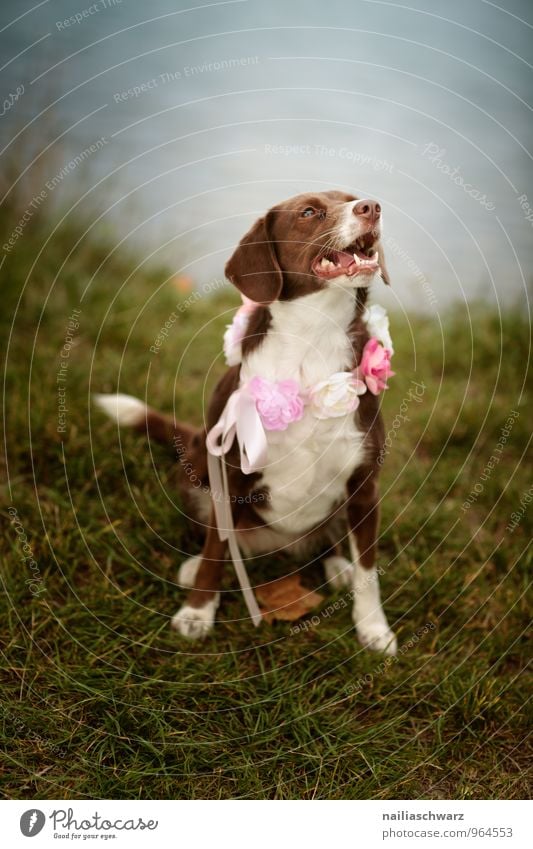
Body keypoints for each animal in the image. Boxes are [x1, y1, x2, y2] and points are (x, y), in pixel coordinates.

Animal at [95, 190, 396, 656]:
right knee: (216, 539)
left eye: (351, 199)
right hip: (198, 469)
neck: (315, 338)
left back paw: (335, 564)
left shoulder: (365, 486)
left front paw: (373, 629)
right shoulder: (230, 473)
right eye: (309, 212)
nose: (372, 206)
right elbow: (216, 552)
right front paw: (197, 612)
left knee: (327, 541)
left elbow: (369, 571)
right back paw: (193, 566)